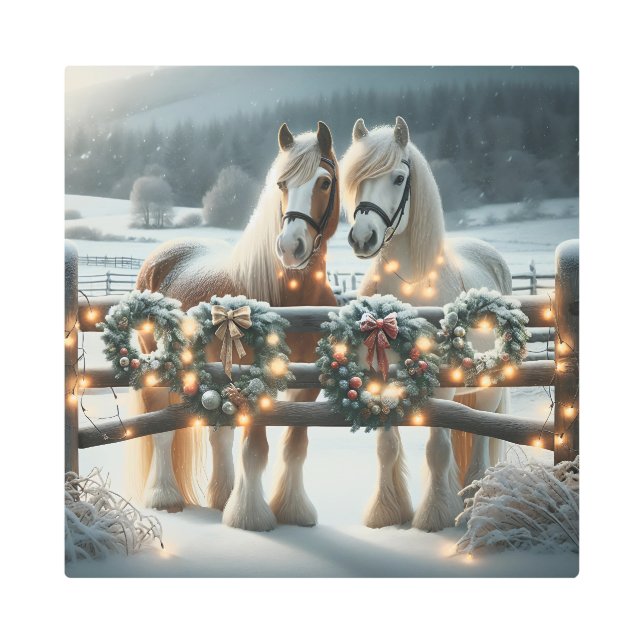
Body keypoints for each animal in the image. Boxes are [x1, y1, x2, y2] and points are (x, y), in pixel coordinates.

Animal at [129, 121, 341, 531]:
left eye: (324, 182)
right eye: (282, 184)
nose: (290, 247)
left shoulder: (307, 387)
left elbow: (295, 447)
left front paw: (294, 511)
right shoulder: (257, 381)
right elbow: (256, 449)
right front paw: (251, 518)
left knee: (218, 435)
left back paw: (221, 497)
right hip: (160, 366)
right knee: (161, 428)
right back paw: (165, 498)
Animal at [341, 116, 511, 532]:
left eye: (399, 178)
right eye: (357, 178)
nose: (363, 237)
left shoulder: (443, 389)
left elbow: (436, 449)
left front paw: (433, 517)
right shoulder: (381, 379)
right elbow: (387, 447)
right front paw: (387, 513)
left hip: (488, 389)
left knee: (481, 437)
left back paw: (473, 501)